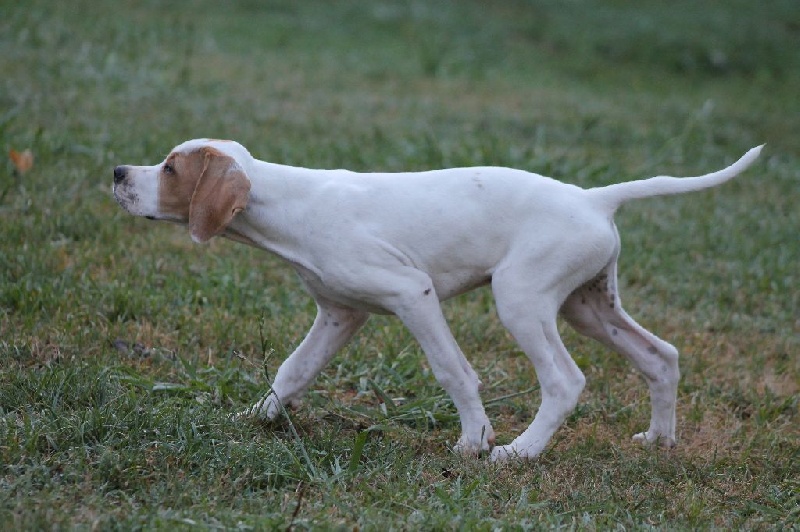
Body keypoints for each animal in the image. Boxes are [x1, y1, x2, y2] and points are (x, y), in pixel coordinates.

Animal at [112, 141, 764, 462]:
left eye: (169, 168)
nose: (118, 172)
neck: (291, 202)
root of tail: (594, 198)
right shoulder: (340, 314)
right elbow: (292, 371)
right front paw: (254, 418)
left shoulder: (412, 294)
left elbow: (454, 371)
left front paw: (475, 441)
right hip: (587, 306)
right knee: (661, 356)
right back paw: (659, 442)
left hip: (521, 300)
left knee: (565, 380)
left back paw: (521, 452)